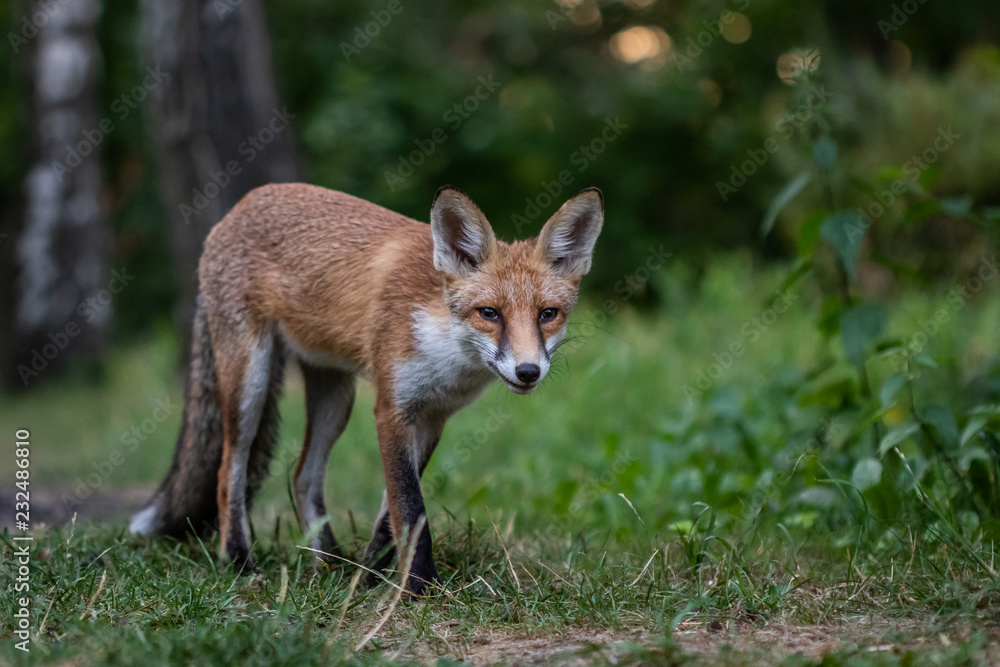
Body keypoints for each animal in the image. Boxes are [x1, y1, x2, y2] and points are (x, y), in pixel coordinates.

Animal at [130, 183, 603, 595]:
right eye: (489, 313)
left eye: (547, 314)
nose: (528, 371)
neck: (444, 348)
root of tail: (239, 207)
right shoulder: (391, 409)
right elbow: (409, 508)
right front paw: (418, 589)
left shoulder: (432, 418)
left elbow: (389, 516)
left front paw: (370, 578)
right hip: (250, 382)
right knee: (230, 470)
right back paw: (239, 562)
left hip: (335, 400)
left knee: (302, 476)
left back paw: (329, 564)